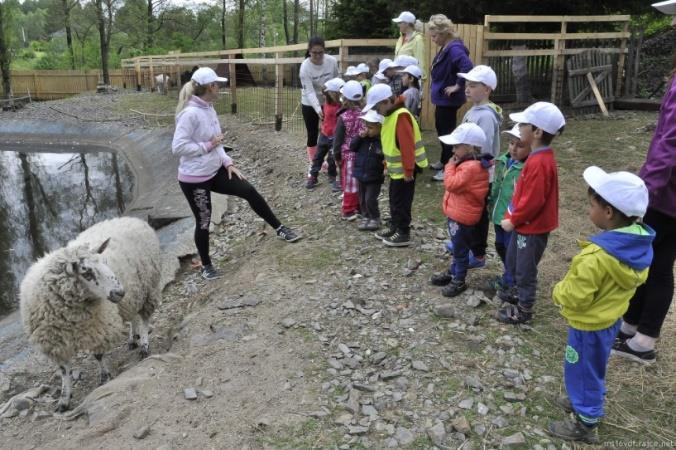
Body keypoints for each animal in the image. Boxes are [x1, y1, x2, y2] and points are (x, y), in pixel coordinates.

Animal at [19, 217, 162, 412]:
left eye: (106, 262)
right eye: (87, 272)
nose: (119, 292)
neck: (69, 315)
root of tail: (130, 219)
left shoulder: (98, 329)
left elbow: (98, 356)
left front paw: (105, 377)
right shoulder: (55, 343)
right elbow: (64, 371)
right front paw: (64, 400)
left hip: (148, 286)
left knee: (145, 318)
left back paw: (144, 345)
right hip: (133, 294)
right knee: (132, 315)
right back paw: (133, 339)